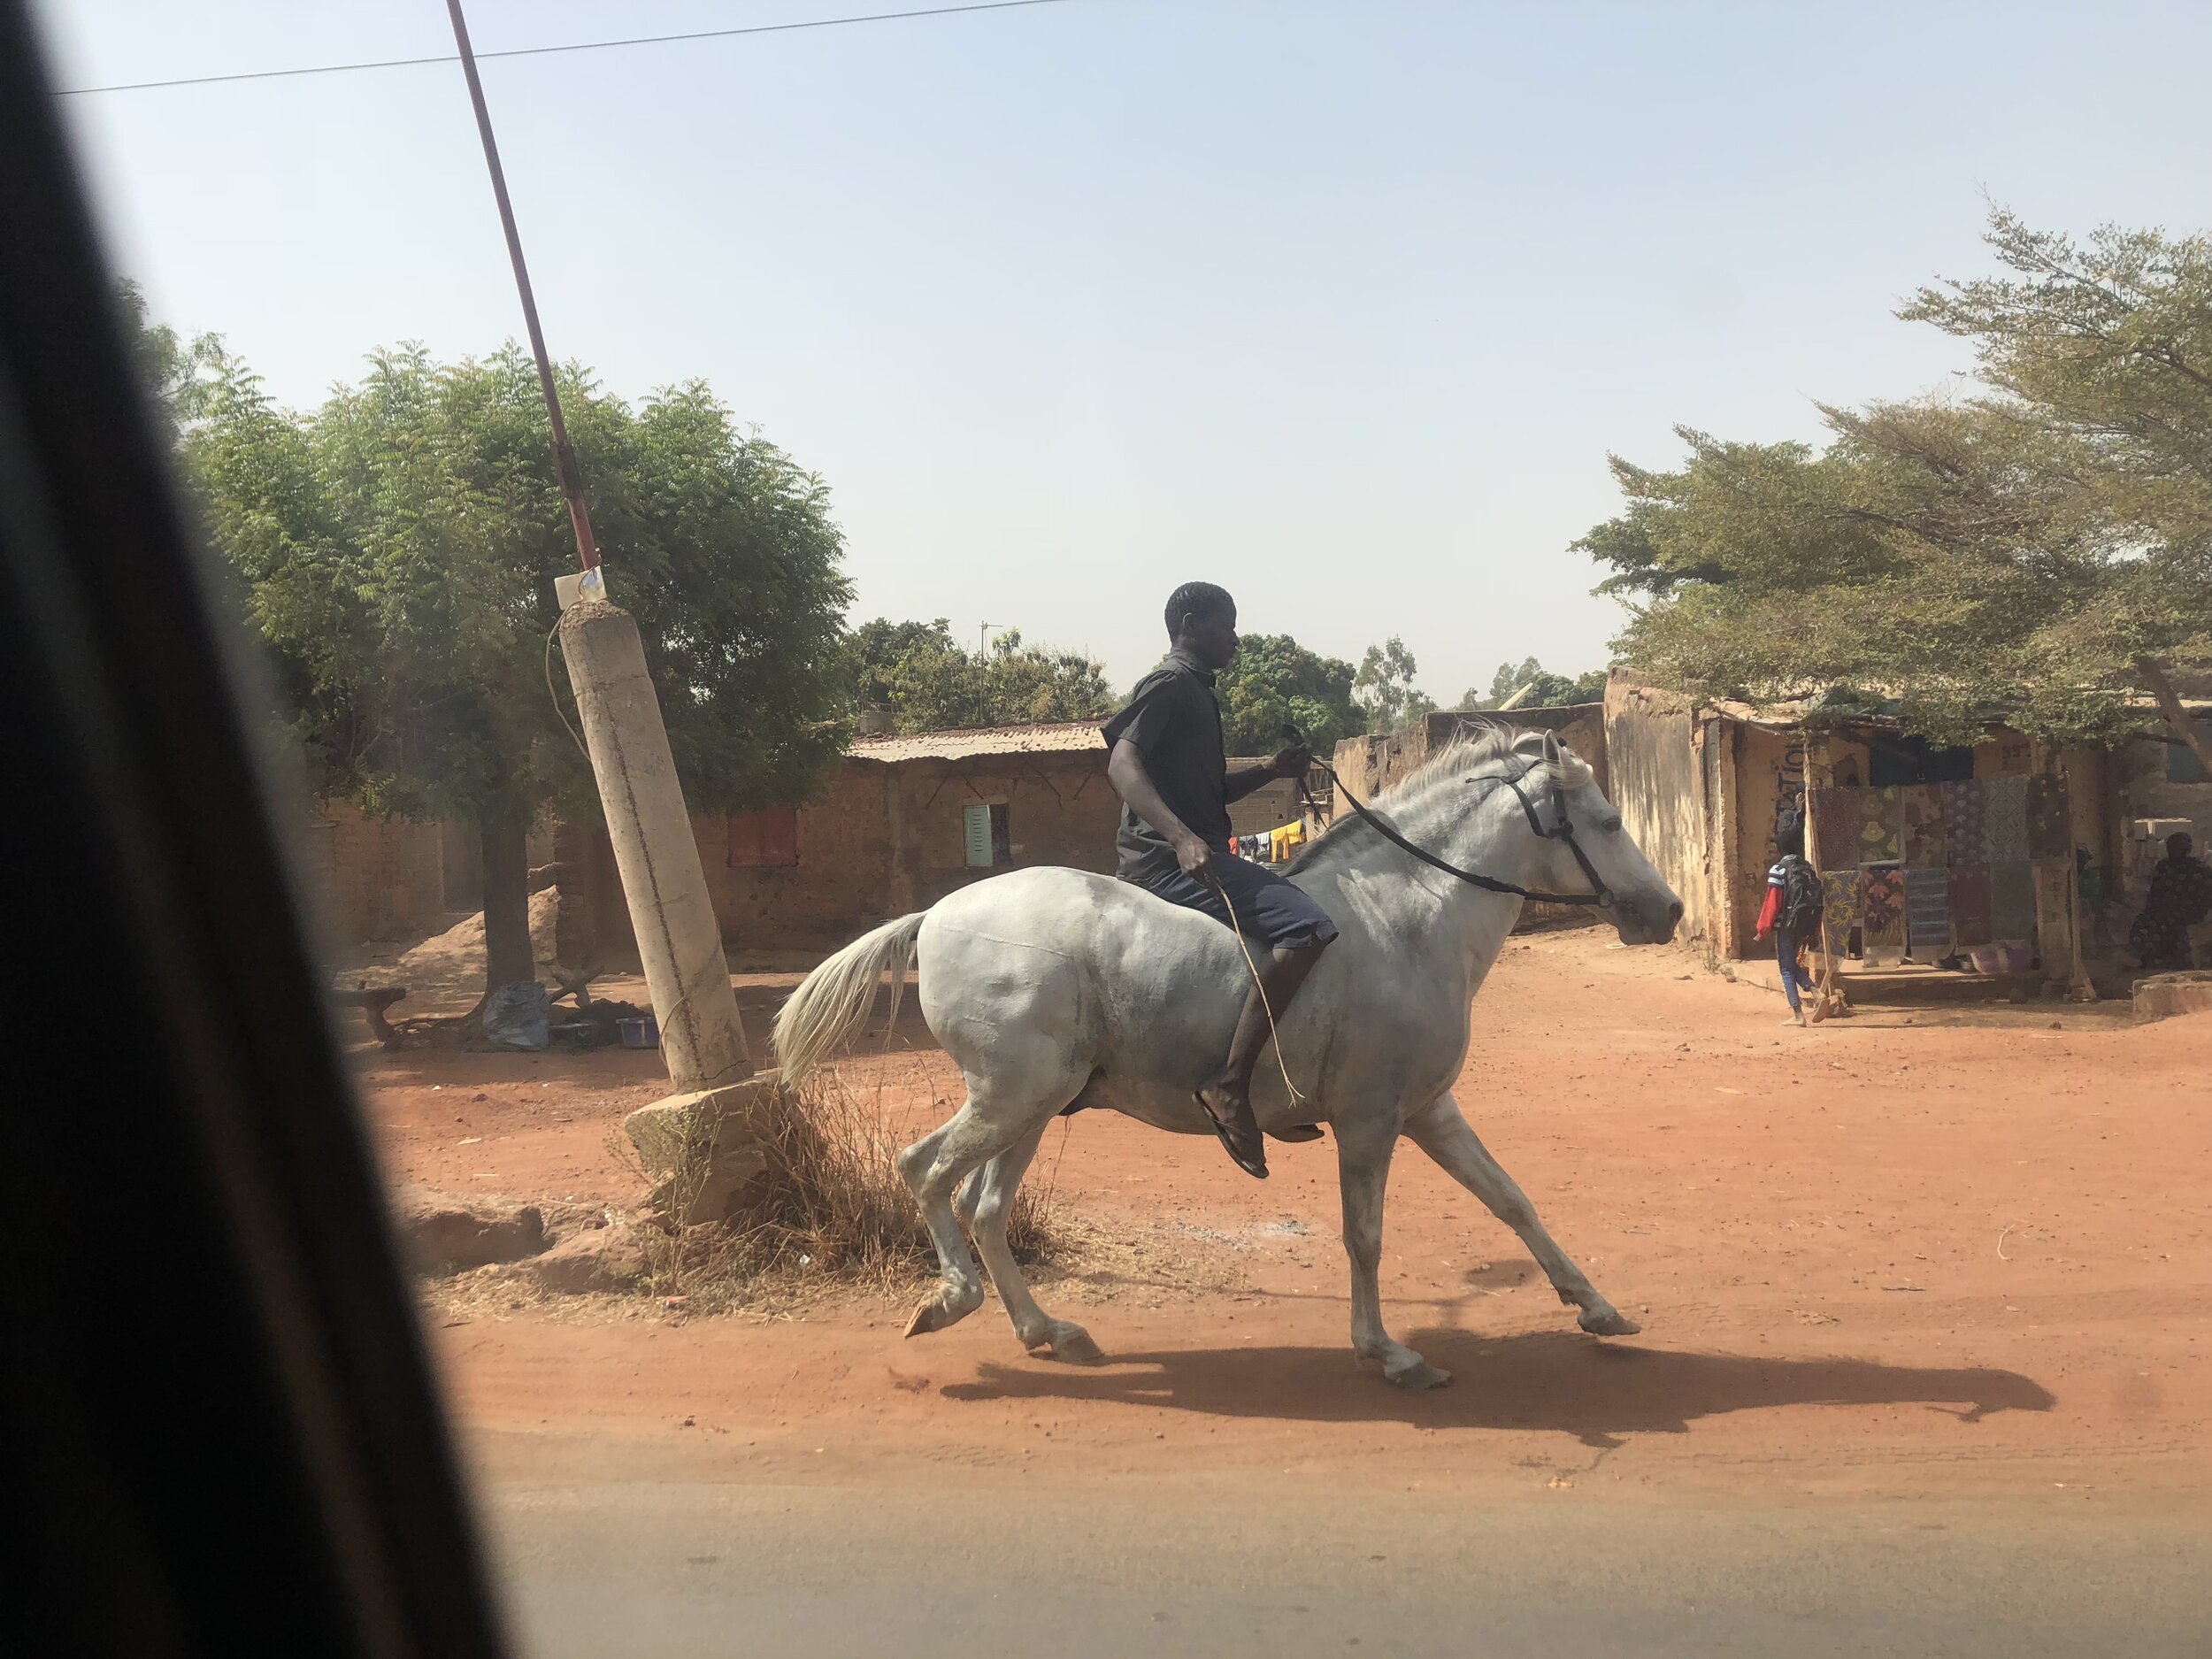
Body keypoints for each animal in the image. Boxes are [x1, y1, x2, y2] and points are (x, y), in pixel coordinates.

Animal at [774, 726, 1672, 1389]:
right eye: (1608, 823)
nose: (1666, 910)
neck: (1405, 917)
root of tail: (935, 915)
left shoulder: (1427, 1111)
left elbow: (1512, 1201)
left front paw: (1596, 1307)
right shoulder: (1369, 1120)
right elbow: (1365, 1235)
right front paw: (1387, 1352)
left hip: (1034, 1103)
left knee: (986, 1207)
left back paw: (1047, 1330)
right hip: (1009, 1096)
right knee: (923, 1170)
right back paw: (951, 1300)